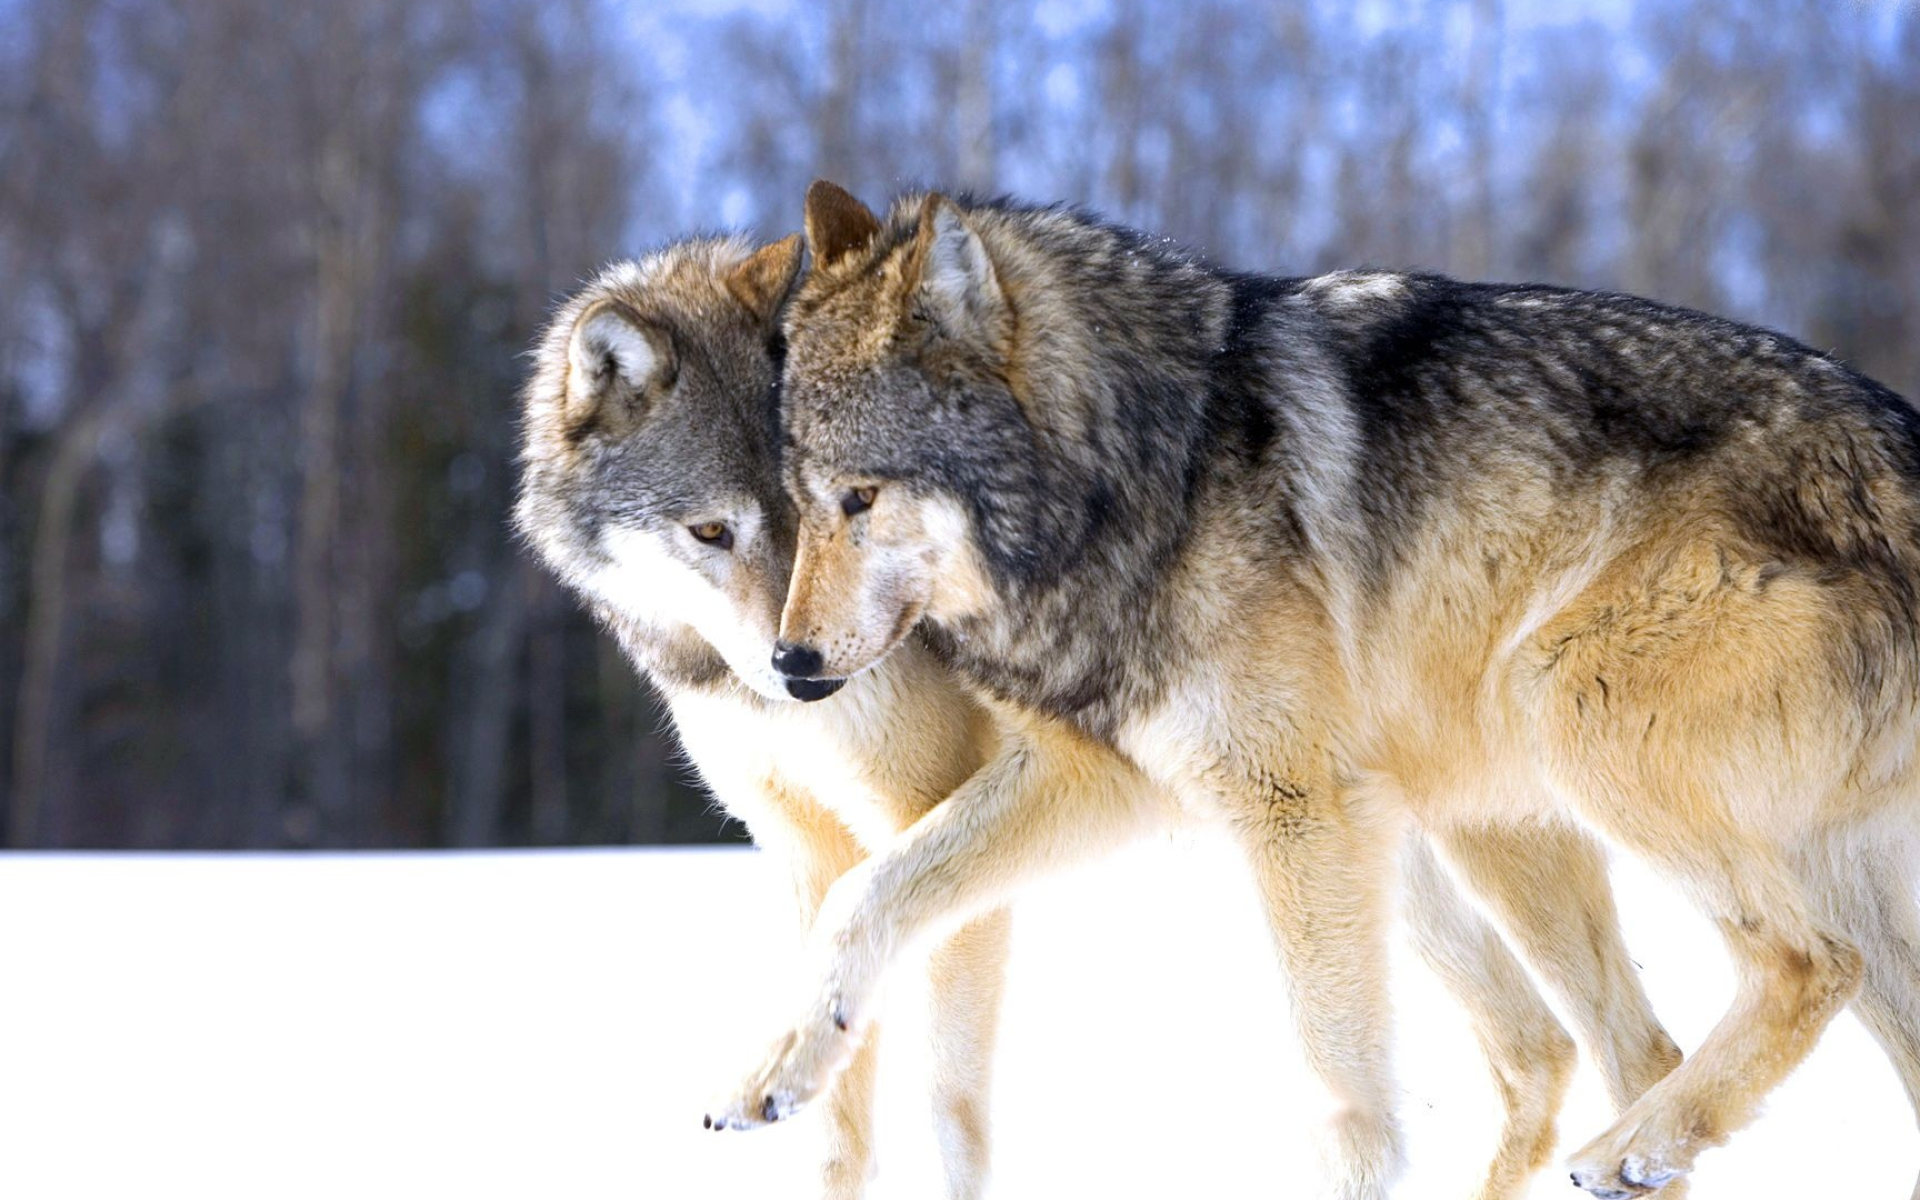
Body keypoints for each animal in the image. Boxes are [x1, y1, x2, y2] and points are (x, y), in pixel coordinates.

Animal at [518, 236, 1689, 1198]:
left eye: (838, 511)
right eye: (713, 531)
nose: (800, 673)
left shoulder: (971, 817)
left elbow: (941, 1098)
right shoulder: (807, 850)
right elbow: (838, 1124)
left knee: (1616, 1051)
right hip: (1376, 852)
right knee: (1542, 1049)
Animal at [729, 180, 1920, 1198]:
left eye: (860, 498)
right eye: (798, 500)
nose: (790, 667)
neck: (1149, 473)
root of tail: (1899, 450)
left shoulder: (1295, 811)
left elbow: (1345, 1099)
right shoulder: (1109, 779)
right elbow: (865, 890)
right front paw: (783, 1064)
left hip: (1556, 705)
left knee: (1808, 966)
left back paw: (1633, 1143)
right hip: (1497, 823)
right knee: (1644, 1043)